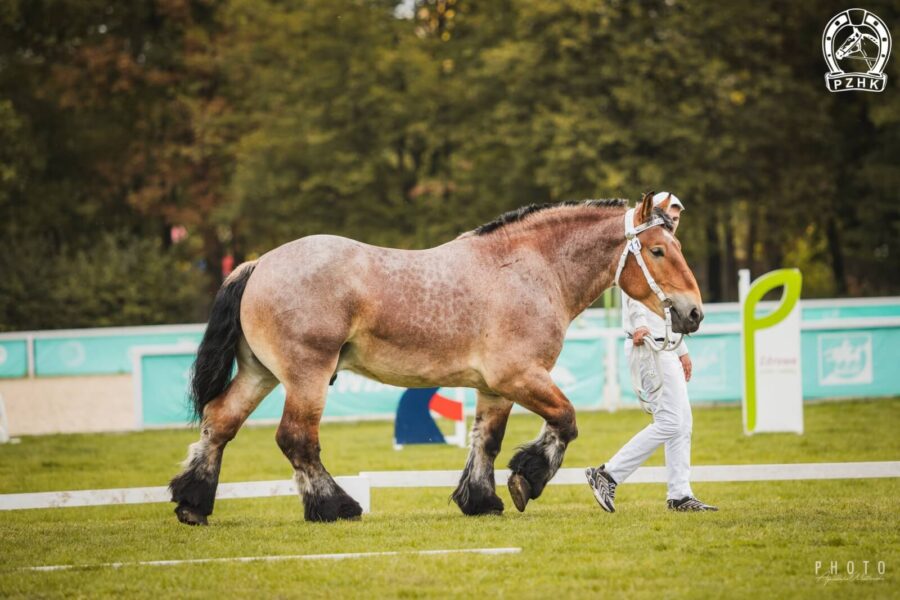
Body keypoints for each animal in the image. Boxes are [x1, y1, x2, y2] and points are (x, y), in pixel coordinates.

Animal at [169, 193, 704, 524]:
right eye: (658, 250)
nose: (693, 312)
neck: (528, 269)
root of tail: (259, 263)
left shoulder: (494, 388)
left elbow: (486, 441)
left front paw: (481, 499)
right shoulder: (520, 376)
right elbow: (566, 421)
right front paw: (527, 478)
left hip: (260, 373)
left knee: (220, 422)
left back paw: (193, 502)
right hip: (307, 376)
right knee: (297, 439)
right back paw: (335, 506)